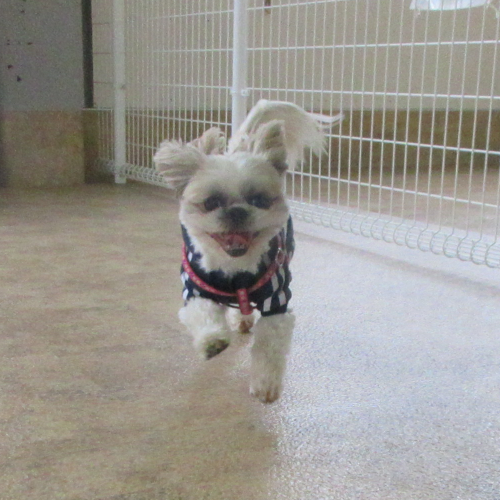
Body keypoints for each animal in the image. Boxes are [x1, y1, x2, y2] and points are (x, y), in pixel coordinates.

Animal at [153, 100, 341, 403]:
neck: (236, 271)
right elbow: (204, 312)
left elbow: (268, 348)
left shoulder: (276, 300)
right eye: (211, 202)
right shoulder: (195, 289)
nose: (237, 211)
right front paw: (213, 341)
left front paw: (265, 385)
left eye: (259, 200)